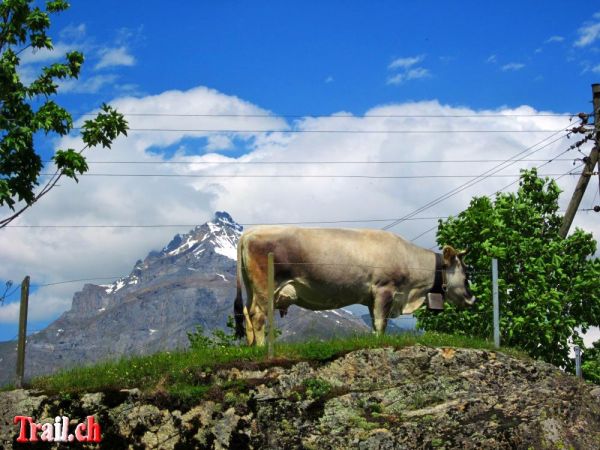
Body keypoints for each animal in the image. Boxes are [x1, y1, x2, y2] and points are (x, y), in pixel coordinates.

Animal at [233, 227, 474, 346]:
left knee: (246, 312)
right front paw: (379, 342)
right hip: (265, 287)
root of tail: (249, 233)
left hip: (252, 288)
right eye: (466, 273)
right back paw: (261, 347)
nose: (473, 298)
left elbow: (376, 322)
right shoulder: (384, 289)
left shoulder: (372, 297)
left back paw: (251, 347)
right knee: (257, 316)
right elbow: (381, 322)